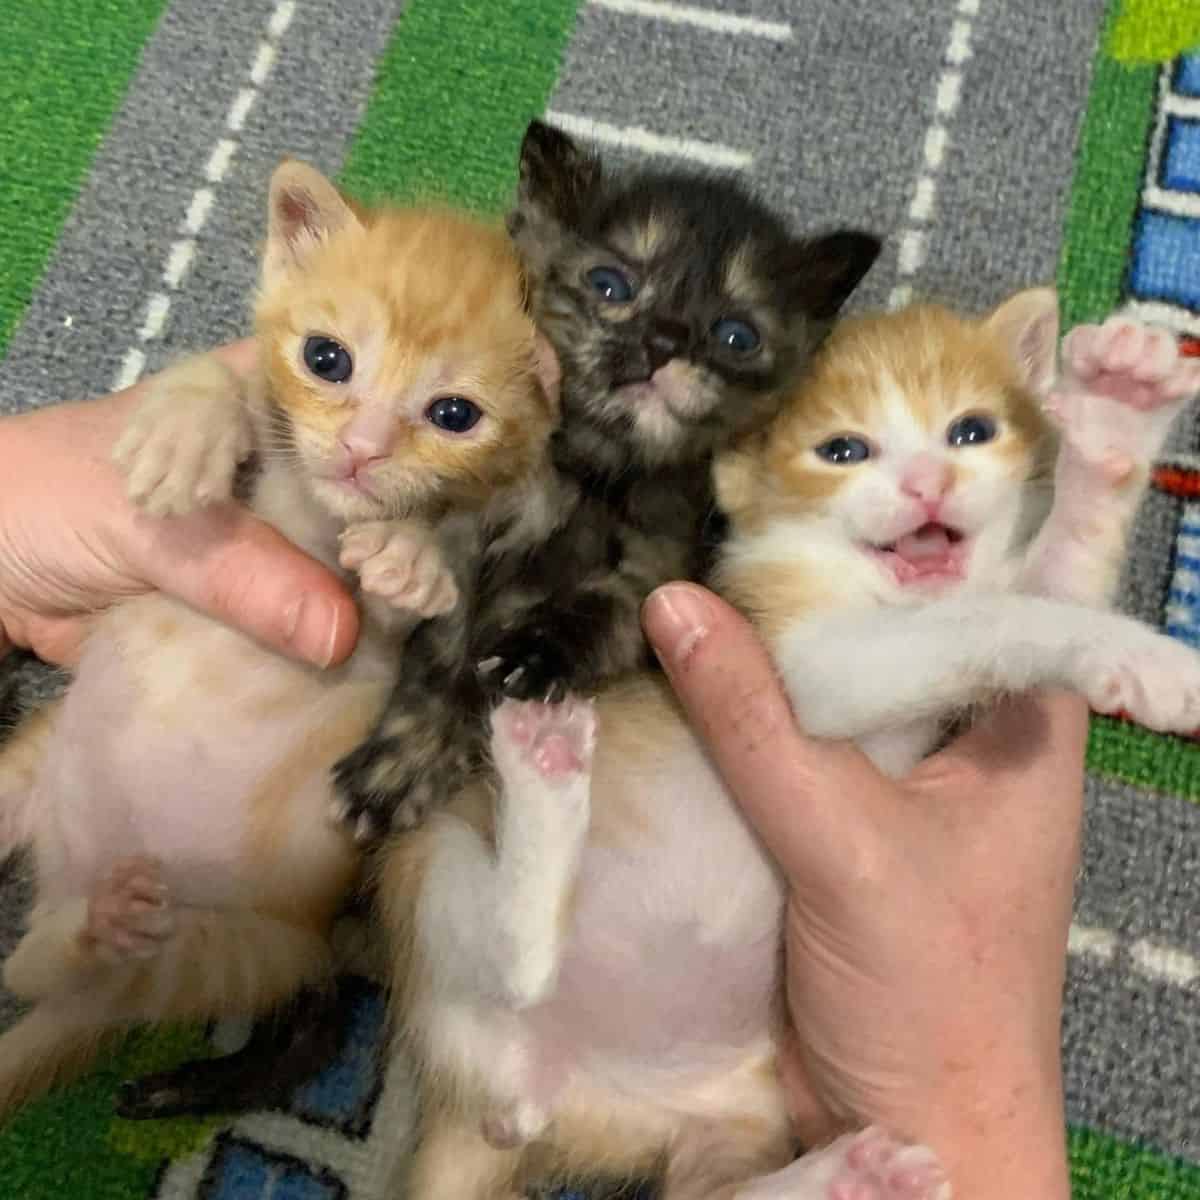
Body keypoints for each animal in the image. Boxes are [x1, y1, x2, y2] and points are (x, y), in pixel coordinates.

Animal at [0, 159, 556, 1113]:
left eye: (455, 414)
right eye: (326, 359)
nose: (363, 450)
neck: (315, 519)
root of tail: (75, 870)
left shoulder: (384, 643)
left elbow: (406, 599)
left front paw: (409, 555)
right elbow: (230, 387)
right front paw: (182, 429)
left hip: (251, 944)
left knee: (71, 973)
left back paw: (99, 930)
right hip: (23, 769)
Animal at [331, 121, 883, 835]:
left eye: (735, 335)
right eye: (610, 284)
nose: (664, 341)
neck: (595, 474)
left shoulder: (659, 575)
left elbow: (602, 617)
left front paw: (535, 654)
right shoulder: (474, 539)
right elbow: (440, 657)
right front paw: (397, 765)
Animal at [379, 290, 1200, 1200]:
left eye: (972, 431)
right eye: (843, 450)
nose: (928, 484)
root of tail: (512, 1099)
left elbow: (1055, 574)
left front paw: (1120, 413)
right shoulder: (805, 661)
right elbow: (990, 616)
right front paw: (1145, 657)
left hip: (729, 1113)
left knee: (717, 1191)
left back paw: (854, 1175)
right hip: (436, 880)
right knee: (514, 970)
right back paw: (542, 772)